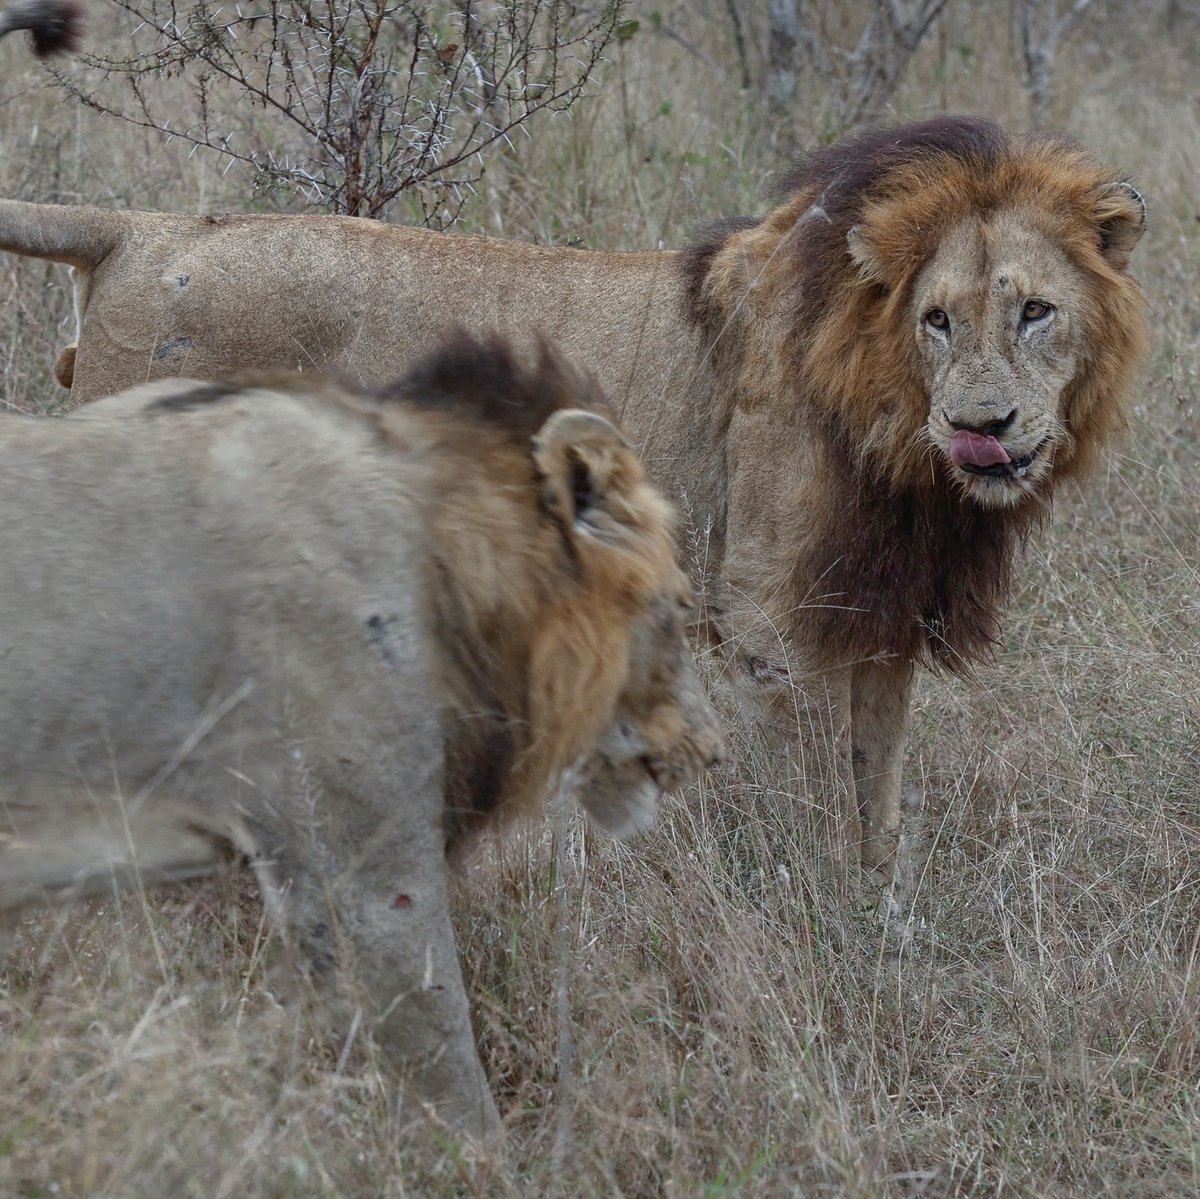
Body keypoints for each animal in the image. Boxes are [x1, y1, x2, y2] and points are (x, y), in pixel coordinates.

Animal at [0, 116, 1147, 886]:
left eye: (1036, 312)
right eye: (937, 319)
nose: (984, 426)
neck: (906, 448)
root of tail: (143, 232)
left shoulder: (878, 617)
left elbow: (881, 794)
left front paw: (883, 915)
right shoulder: (777, 621)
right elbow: (824, 802)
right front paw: (831, 933)